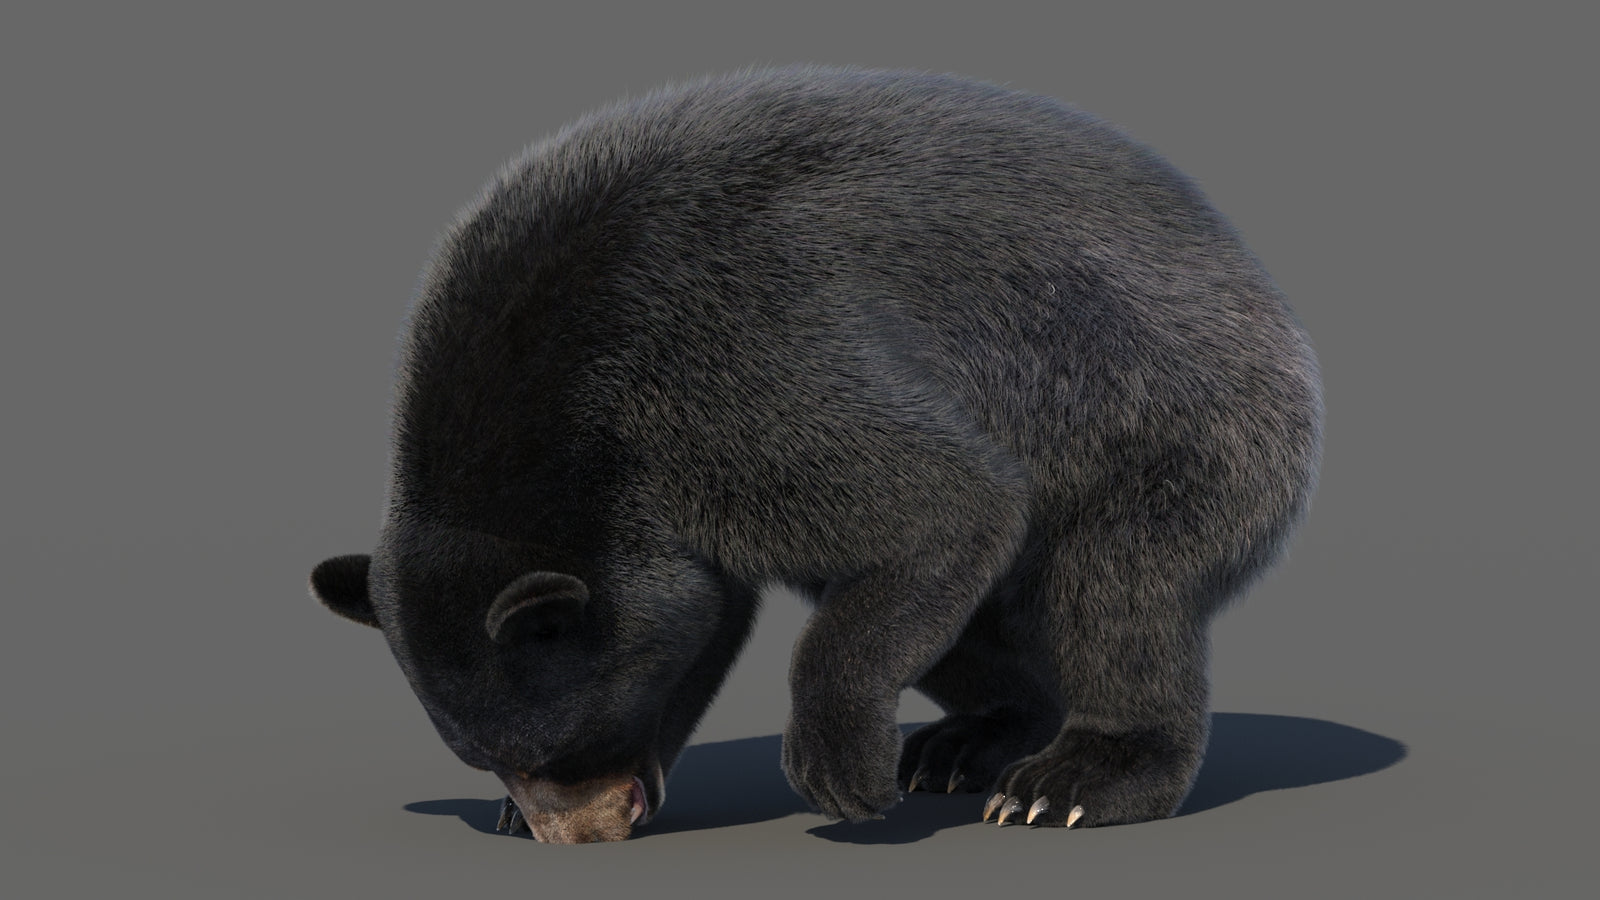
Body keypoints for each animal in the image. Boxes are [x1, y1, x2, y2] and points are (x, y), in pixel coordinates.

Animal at [310, 65, 1322, 843]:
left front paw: (839, 771)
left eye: (555, 745)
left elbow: (949, 502)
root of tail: (1258, 280)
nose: (579, 833)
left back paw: (1069, 780)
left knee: (1119, 591)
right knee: (972, 620)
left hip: (1175, 420)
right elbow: (719, 607)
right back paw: (968, 739)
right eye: (487, 755)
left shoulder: (731, 373)